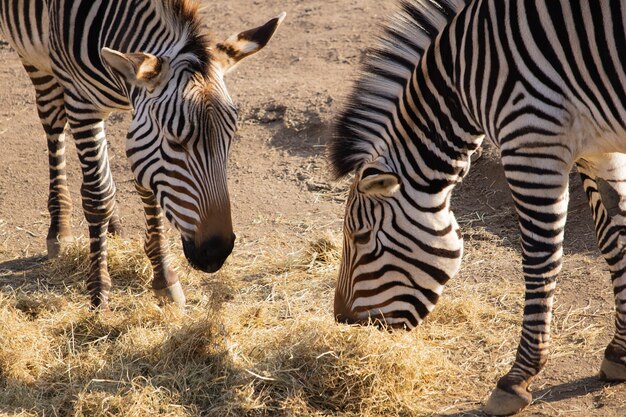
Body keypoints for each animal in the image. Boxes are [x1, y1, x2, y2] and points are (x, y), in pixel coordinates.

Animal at [0, 0, 282, 308]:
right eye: (176, 143)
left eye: (229, 141)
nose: (217, 252)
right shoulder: (81, 103)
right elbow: (97, 195)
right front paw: (99, 294)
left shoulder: (141, 117)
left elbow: (144, 185)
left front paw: (163, 277)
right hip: (36, 60)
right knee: (53, 124)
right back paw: (59, 227)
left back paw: (113, 225)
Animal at [334, 0, 626, 412]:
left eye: (360, 237)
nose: (342, 321)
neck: (464, 77)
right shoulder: (596, 147)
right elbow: (614, 238)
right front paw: (620, 352)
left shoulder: (532, 142)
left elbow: (540, 262)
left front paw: (517, 379)